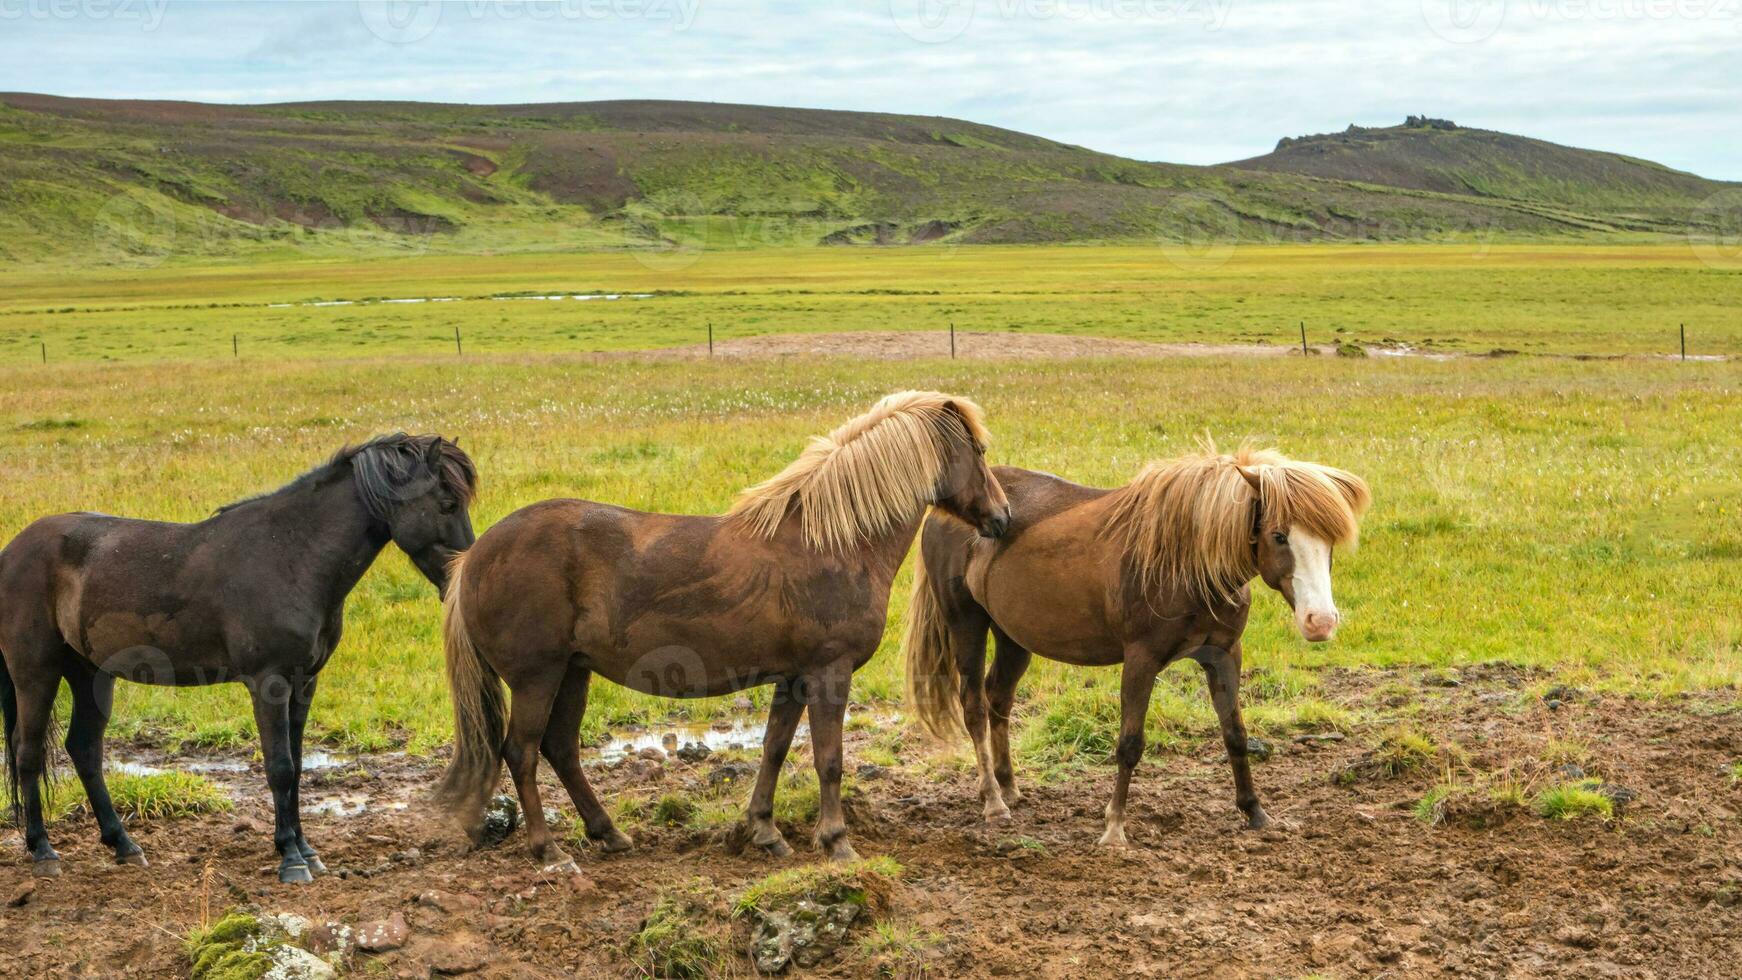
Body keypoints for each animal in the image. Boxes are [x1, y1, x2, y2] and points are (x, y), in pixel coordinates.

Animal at [0, 433, 477, 884]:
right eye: (447, 503)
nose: (461, 580)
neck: (290, 554)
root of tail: (13, 550)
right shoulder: (270, 683)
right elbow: (280, 767)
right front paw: (290, 859)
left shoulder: (305, 682)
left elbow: (297, 766)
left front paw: (307, 851)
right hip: (36, 673)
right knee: (28, 752)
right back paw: (43, 852)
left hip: (90, 674)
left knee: (84, 749)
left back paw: (124, 845)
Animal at [435, 391, 1010, 866]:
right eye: (979, 453)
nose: (1003, 517)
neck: (834, 542)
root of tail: (473, 558)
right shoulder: (829, 672)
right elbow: (829, 760)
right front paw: (836, 841)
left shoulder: (792, 677)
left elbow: (775, 749)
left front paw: (765, 831)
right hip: (537, 677)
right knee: (522, 751)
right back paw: (548, 850)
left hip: (573, 672)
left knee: (560, 748)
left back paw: (609, 833)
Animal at [905, 449, 1365, 845]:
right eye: (1279, 535)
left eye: (1329, 543)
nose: (1321, 622)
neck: (1188, 561)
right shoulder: (1141, 660)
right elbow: (1129, 744)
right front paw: (1114, 828)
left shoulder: (1224, 654)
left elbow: (1235, 733)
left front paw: (1254, 811)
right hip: (966, 623)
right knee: (975, 707)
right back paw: (994, 802)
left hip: (1013, 636)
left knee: (999, 698)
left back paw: (1010, 787)